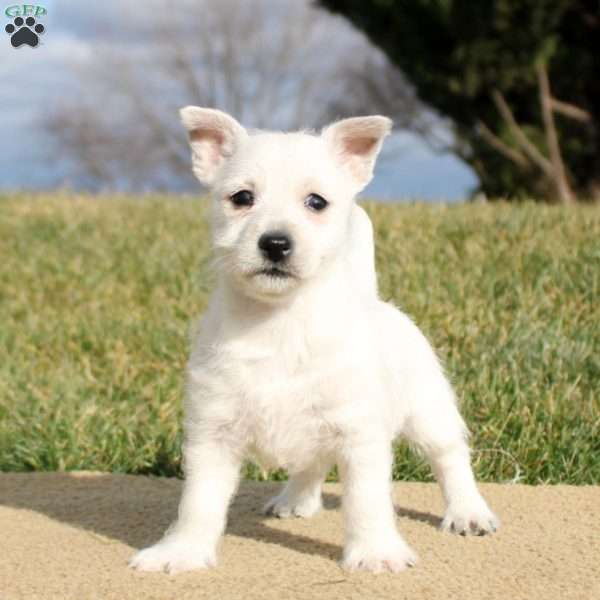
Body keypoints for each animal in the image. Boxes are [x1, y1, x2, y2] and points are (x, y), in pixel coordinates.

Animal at [129, 105, 500, 576]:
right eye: (242, 198)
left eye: (317, 202)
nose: (275, 243)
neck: (279, 322)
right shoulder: (213, 433)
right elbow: (197, 502)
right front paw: (181, 551)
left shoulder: (359, 434)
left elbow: (366, 501)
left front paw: (375, 551)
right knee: (312, 463)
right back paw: (295, 500)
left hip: (429, 412)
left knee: (450, 457)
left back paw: (468, 511)